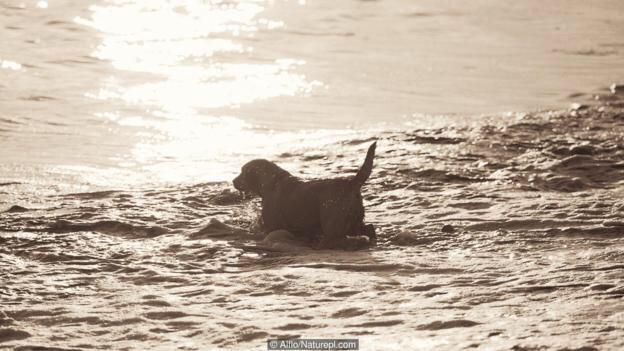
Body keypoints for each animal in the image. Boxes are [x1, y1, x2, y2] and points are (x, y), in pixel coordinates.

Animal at [233, 142, 376, 249]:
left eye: (242, 172)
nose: (233, 181)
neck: (271, 182)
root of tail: (351, 183)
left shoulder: (271, 225)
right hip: (352, 222)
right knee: (369, 228)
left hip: (333, 225)